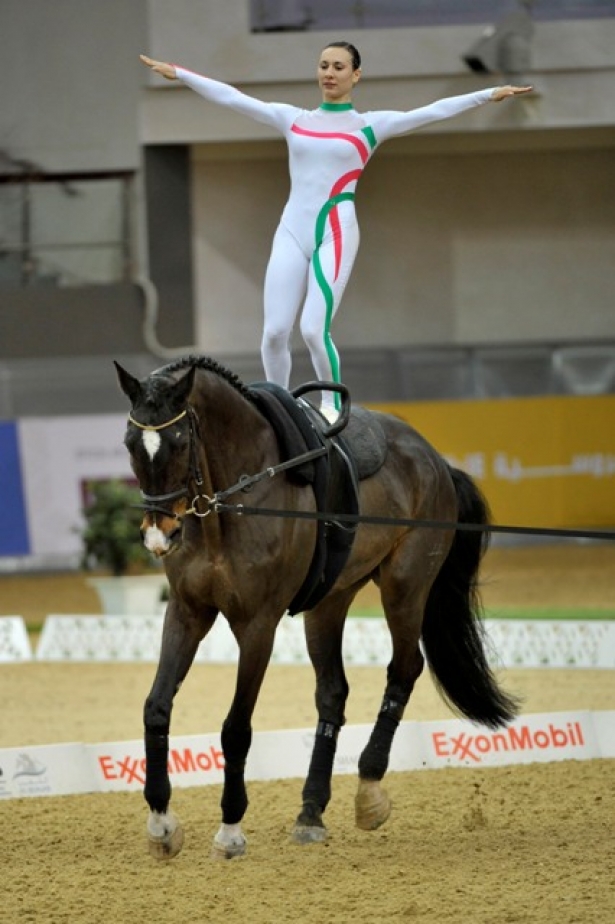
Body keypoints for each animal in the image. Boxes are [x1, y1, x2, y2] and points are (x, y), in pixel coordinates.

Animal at [113, 358, 516, 864]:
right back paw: (311, 811)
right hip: (329, 602)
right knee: (333, 692)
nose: (158, 535)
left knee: (404, 669)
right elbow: (157, 708)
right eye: (130, 442)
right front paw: (162, 824)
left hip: (405, 588)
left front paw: (231, 830)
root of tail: (434, 460)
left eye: (181, 442)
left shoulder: (258, 625)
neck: (233, 499)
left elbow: (236, 728)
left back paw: (369, 789)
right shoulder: (188, 613)